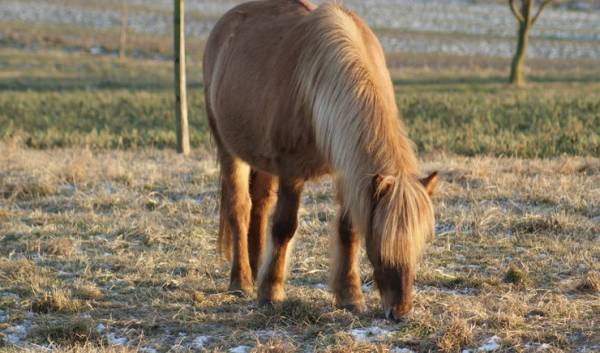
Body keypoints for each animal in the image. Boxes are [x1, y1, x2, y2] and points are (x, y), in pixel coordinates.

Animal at [204, 0, 438, 320]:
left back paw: (256, 266)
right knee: (239, 208)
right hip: (230, 150)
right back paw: (242, 281)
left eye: (418, 244)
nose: (400, 312)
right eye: (380, 243)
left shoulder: (348, 172)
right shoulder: (291, 172)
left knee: (260, 205)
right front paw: (271, 292)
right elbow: (284, 227)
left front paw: (349, 296)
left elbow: (348, 230)